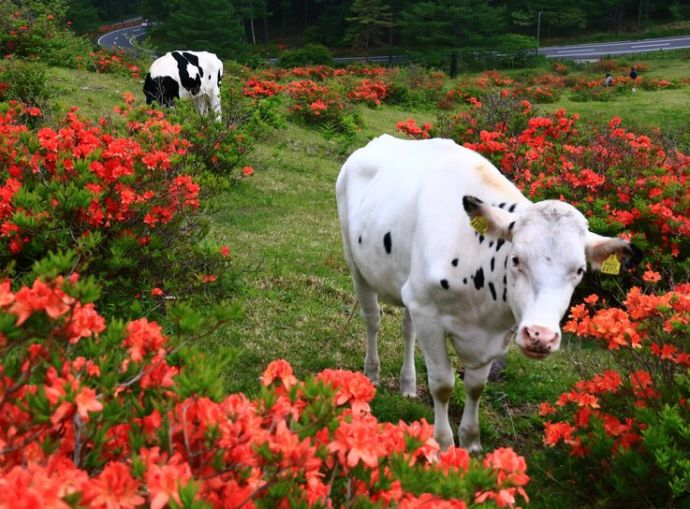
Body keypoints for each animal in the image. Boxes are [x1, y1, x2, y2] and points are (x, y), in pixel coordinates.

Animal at [334, 133, 640, 450]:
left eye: (579, 270)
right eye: (515, 259)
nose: (541, 336)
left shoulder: (490, 330)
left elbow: (475, 386)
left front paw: (471, 440)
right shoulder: (428, 312)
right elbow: (443, 384)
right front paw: (445, 444)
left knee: (408, 330)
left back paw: (408, 385)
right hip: (356, 263)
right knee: (373, 319)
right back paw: (372, 374)